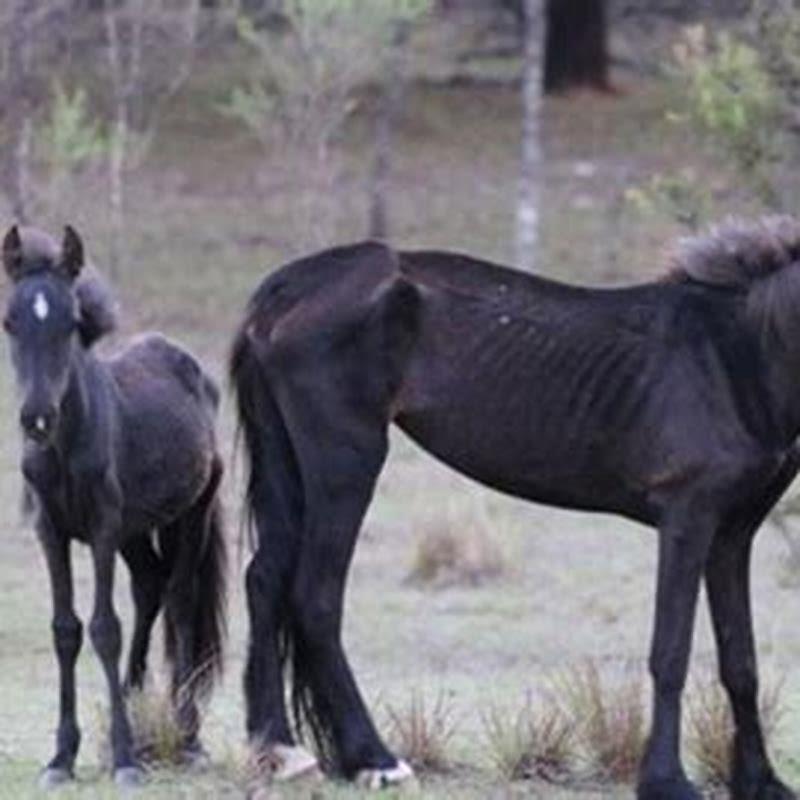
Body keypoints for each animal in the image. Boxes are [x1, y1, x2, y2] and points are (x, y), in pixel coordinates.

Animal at [2, 225, 227, 787]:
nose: (36, 418)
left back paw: (187, 736)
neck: (66, 446)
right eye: (10, 322)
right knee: (149, 586)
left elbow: (105, 629)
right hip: (136, 530)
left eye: (71, 323)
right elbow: (65, 630)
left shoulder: (102, 528)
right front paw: (62, 757)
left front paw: (125, 759)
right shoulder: (52, 532)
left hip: (189, 515)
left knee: (180, 599)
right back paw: (128, 711)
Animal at [230, 216, 800, 798]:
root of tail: (285, 290)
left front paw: (762, 781)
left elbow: (740, 659)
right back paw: (377, 759)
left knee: (265, 579)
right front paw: (667, 781)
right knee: (315, 596)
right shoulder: (688, 518)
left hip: (288, 464)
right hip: (345, 464)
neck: (736, 355)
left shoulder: (734, 532)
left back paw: (281, 750)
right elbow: (672, 652)